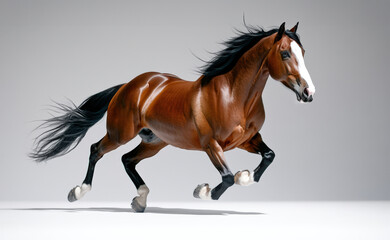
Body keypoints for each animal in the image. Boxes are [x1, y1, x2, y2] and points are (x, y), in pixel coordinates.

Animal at [32, 22, 316, 212]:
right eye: (285, 53)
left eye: (303, 52)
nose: (309, 92)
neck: (234, 95)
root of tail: (129, 85)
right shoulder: (211, 144)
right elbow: (226, 177)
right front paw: (203, 191)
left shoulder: (247, 139)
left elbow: (268, 156)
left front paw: (245, 176)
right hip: (120, 133)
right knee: (96, 150)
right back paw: (78, 192)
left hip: (155, 142)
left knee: (127, 160)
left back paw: (140, 200)